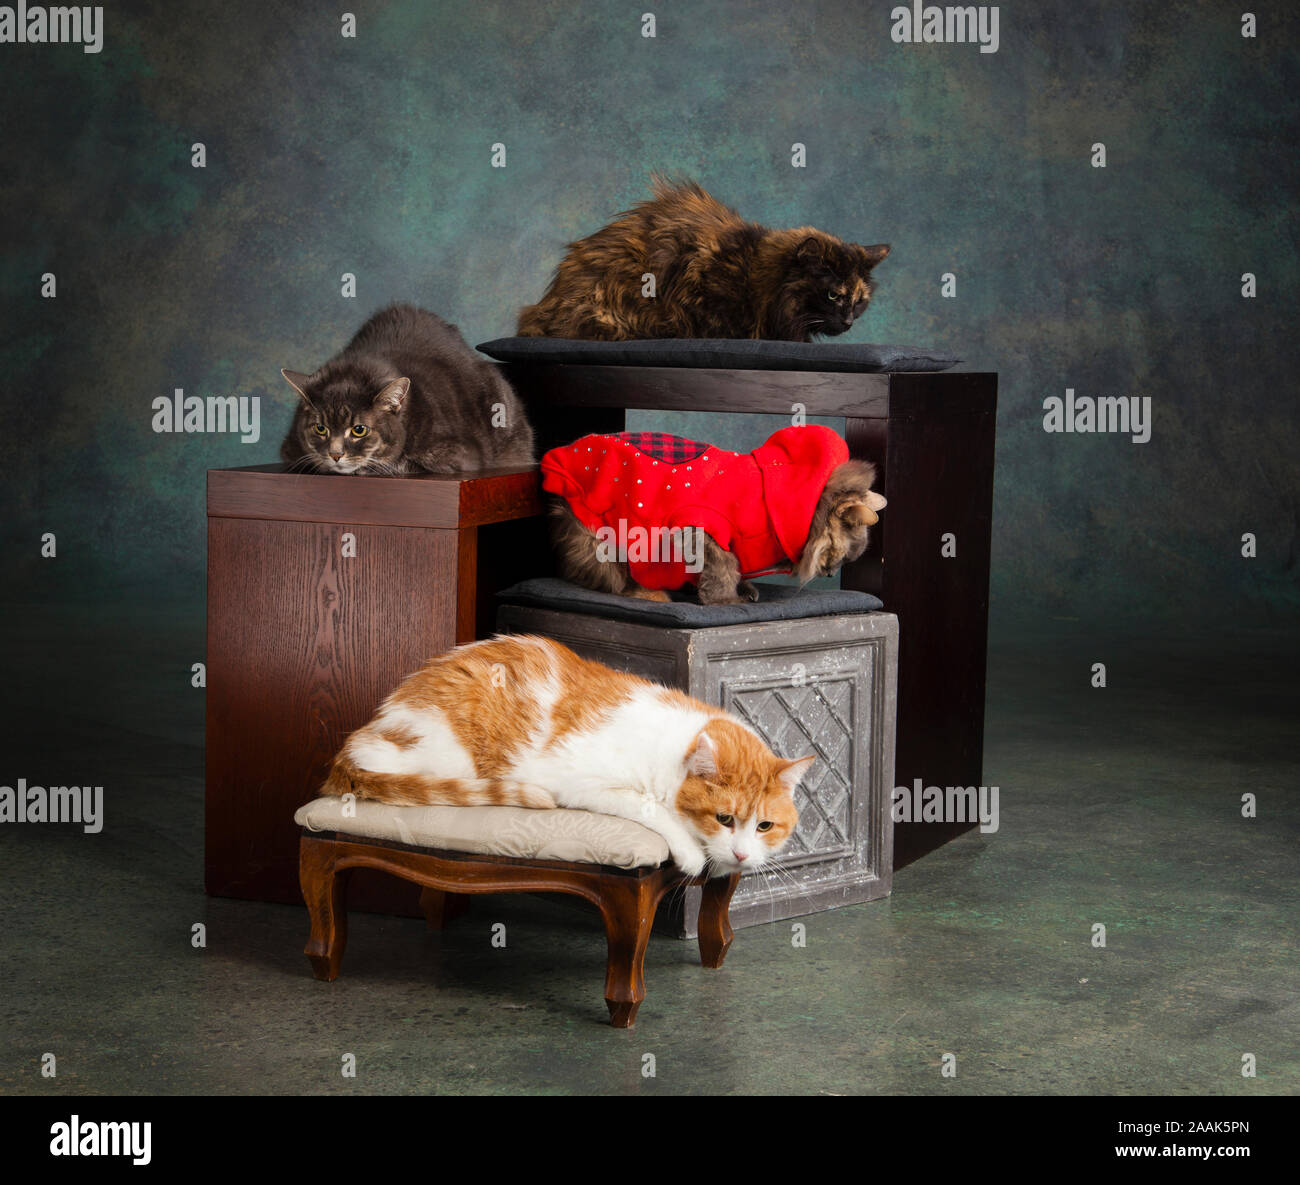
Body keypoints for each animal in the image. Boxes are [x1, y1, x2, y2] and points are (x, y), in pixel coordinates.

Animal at [279, 302, 533, 475]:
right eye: (320, 428)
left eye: (359, 430)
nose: (335, 454)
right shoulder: (289, 451)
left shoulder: (459, 454)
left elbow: (401, 463)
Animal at [322, 634, 811, 873]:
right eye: (724, 818)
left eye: (765, 826)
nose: (742, 857)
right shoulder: (584, 784)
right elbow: (651, 807)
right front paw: (690, 853)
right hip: (444, 758)